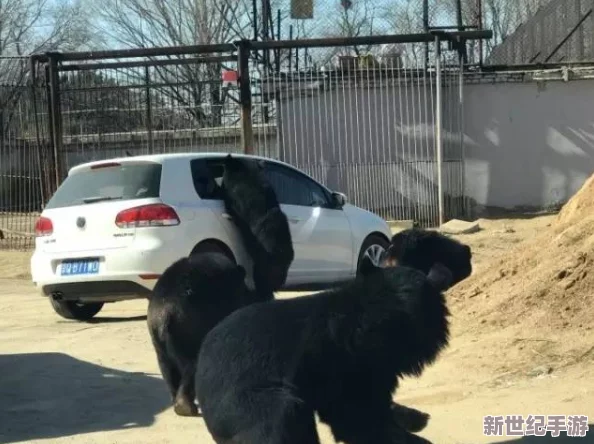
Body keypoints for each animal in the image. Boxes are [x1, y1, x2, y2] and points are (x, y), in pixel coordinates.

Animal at [147, 251, 251, 418]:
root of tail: (165, 313)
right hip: (189, 329)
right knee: (193, 364)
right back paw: (186, 406)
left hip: (157, 336)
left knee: (167, 367)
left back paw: (177, 401)